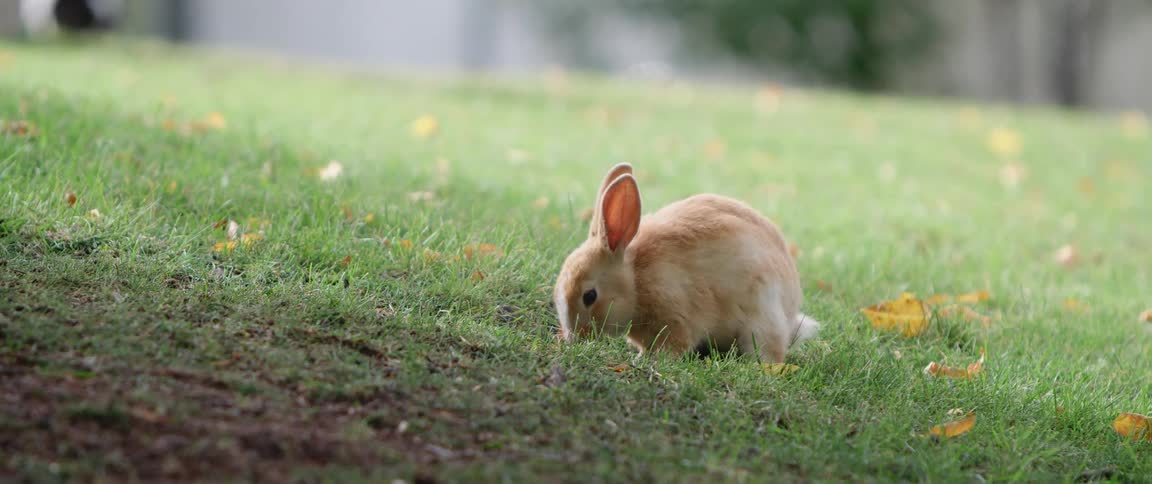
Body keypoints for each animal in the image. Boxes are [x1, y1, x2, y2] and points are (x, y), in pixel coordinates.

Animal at [554, 163, 819, 363]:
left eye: (590, 296)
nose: (574, 338)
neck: (635, 282)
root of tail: (790, 315)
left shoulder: (677, 316)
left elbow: (676, 344)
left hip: (761, 320)